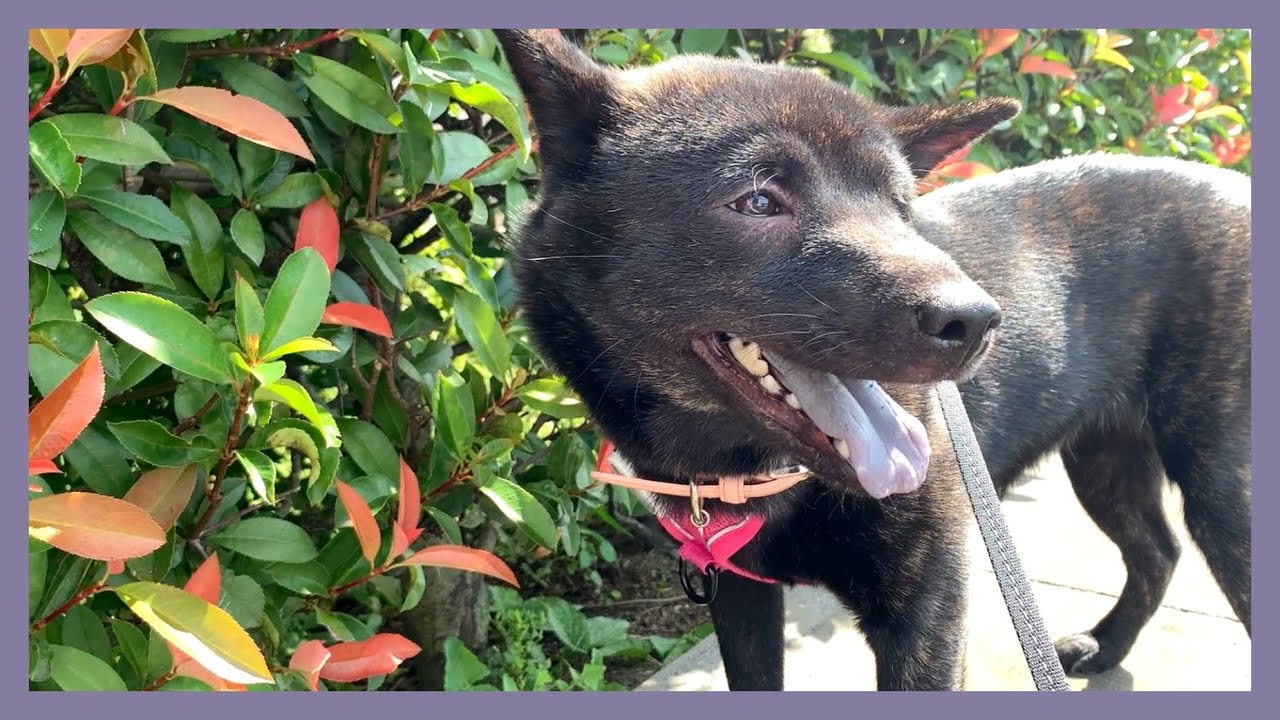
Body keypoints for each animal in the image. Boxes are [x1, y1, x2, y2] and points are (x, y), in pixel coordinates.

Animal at [492, 29, 1251, 690]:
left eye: (900, 205)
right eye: (757, 199)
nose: (980, 320)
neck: (741, 471)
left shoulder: (928, 615)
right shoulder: (741, 597)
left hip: (1221, 486)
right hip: (1105, 458)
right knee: (1156, 552)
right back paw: (1106, 644)